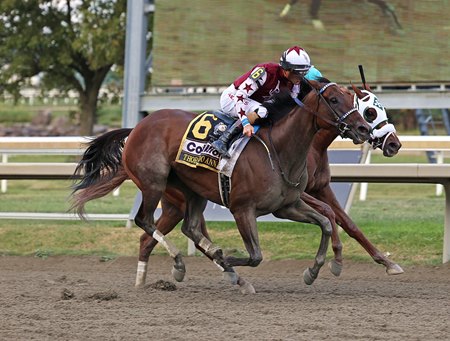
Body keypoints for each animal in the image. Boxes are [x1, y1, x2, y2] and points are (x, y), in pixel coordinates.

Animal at [72, 77, 370, 292]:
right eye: (334, 99)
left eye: (353, 99)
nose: (364, 129)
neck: (279, 150)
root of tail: (137, 127)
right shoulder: (242, 209)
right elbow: (256, 255)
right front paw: (225, 259)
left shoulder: (288, 206)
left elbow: (325, 222)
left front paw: (315, 270)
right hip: (153, 183)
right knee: (144, 221)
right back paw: (186, 263)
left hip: (191, 191)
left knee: (189, 228)